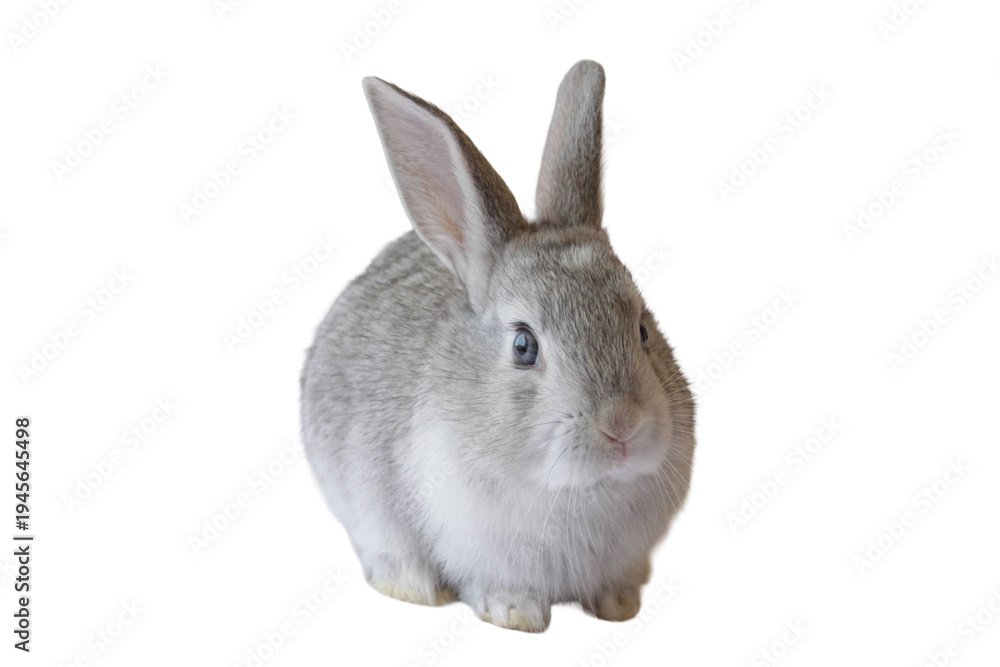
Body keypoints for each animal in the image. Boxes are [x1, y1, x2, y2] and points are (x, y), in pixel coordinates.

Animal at [300, 60, 696, 633]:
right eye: (524, 345)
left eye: (643, 328)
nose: (621, 424)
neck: (579, 489)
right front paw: (517, 615)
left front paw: (620, 607)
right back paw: (414, 588)